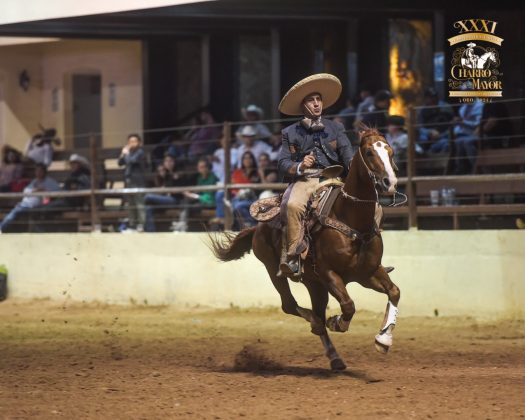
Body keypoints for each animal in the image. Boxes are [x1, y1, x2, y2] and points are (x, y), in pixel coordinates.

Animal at [209, 129, 402, 370]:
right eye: (369, 152)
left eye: (390, 151)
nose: (389, 182)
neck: (352, 220)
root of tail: (258, 227)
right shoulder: (330, 274)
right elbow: (348, 305)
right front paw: (336, 322)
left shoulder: (368, 273)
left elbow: (394, 292)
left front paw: (384, 340)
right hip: (275, 270)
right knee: (290, 306)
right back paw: (317, 324)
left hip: (314, 283)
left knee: (314, 310)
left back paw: (334, 356)